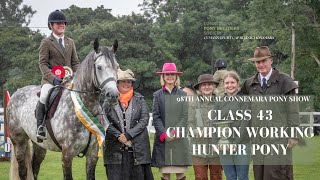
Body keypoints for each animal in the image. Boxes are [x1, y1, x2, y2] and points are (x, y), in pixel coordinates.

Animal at [6, 38, 119, 179]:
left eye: (117, 67)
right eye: (99, 67)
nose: (113, 95)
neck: (84, 108)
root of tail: (16, 93)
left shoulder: (93, 154)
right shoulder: (67, 155)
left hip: (39, 145)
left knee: (34, 168)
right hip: (19, 142)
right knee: (23, 171)